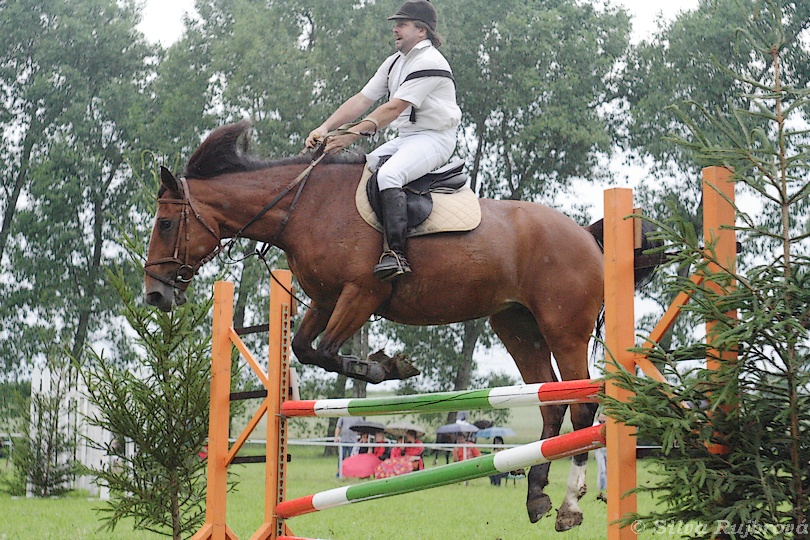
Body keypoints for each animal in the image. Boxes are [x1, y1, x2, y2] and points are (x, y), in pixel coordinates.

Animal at [142, 120, 652, 528]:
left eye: (165, 224)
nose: (155, 294)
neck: (303, 209)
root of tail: (585, 234)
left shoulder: (362, 294)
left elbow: (329, 353)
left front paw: (386, 366)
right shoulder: (325, 299)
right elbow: (307, 349)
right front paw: (387, 365)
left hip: (563, 328)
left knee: (582, 407)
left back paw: (568, 505)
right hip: (516, 326)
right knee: (551, 403)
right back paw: (536, 494)